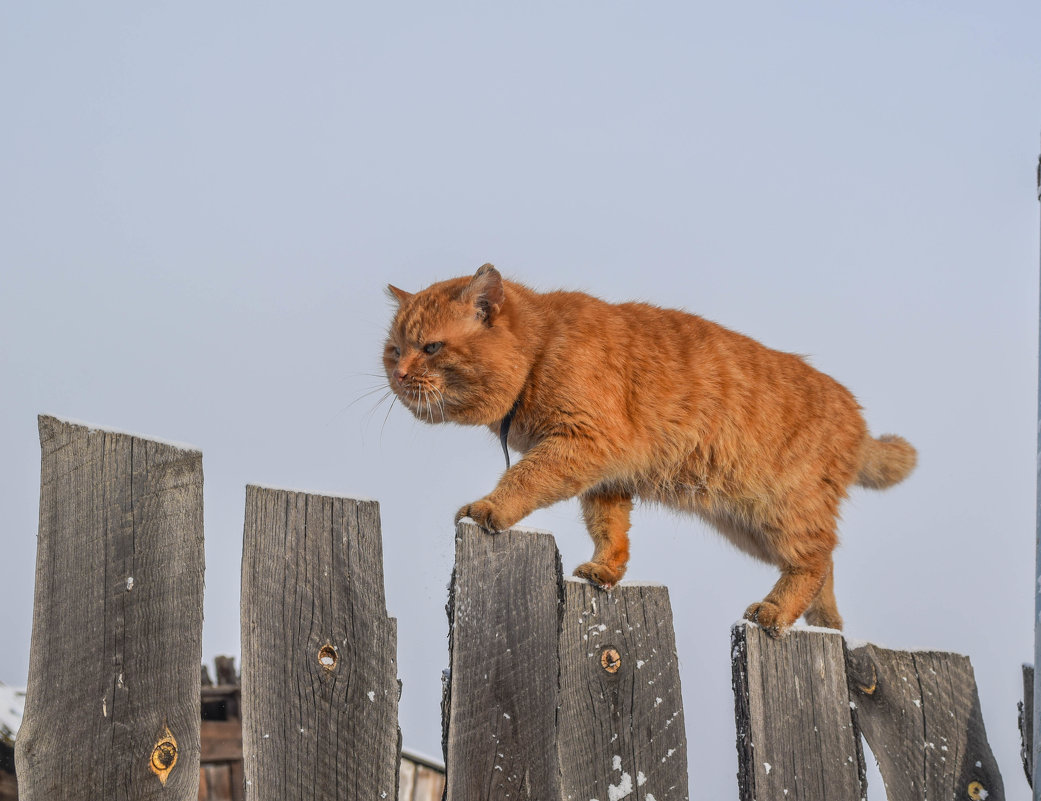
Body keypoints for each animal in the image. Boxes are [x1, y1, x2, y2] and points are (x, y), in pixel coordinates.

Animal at [381, 262, 911, 637]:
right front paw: (606, 568)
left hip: (781, 515)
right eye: (394, 350)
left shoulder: (581, 444)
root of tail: (858, 421)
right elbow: (609, 528)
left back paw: (777, 611)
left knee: (814, 562)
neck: (542, 349)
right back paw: (827, 624)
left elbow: (522, 479)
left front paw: (491, 507)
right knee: (828, 565)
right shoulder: (605, 476)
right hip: (750, 525)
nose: (400, 375)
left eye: (430, 348)